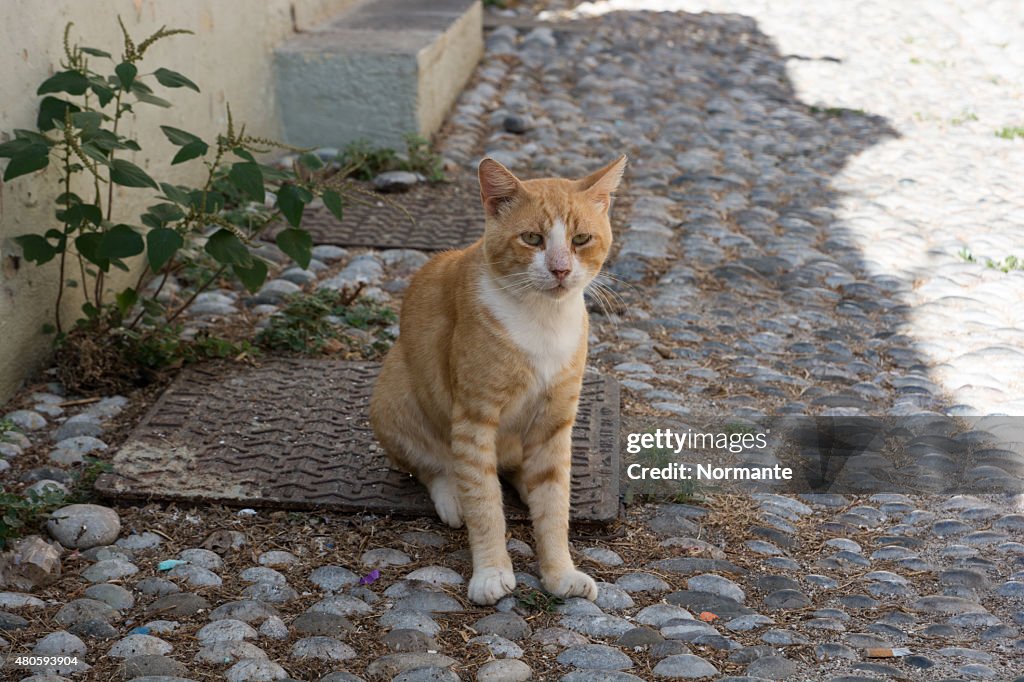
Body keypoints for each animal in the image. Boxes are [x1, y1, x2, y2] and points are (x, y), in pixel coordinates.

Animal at [368, 152, 622, 602]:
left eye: (580, 240)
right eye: (533, 239)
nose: (560, 270)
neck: (543, 319)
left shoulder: (556, 421)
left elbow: (554, 504)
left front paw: (559, 571)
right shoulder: (474, 418)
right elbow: (484, 501)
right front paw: (490, 572)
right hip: (393, 394)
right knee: (434, 465)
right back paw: (453, 495)